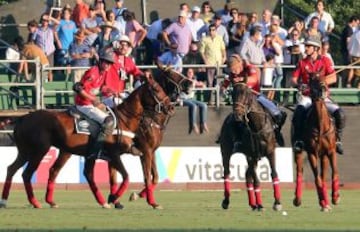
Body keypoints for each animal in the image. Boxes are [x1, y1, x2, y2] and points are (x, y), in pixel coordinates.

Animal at [0, 74, 174, 208]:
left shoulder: (134, 153)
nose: (171, 107)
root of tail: (23, 118)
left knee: (15, 169)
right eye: (157, 89)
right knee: (27, 173)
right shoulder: (124, 153)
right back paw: (35, 202)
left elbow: (128, 177)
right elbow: (131, 176)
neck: (125, 119)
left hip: (35, 151)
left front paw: (117, 200)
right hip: (39, 150)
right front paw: (121, 198)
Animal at [217, 82, 282, 211]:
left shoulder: (270, 152)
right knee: (227, 173)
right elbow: (256, 180)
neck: (257, 127)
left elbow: (274, 173)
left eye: (247, 94)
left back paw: (252, 203)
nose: (237, 114)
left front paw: (277, 203)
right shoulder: (251, 155)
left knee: (247, 176)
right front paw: (260, 204)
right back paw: (226, 201)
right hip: (226, 151)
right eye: (232, 94)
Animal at [292, 71, 340, 211]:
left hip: (323, 156)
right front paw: (322, 200)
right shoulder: (312, 153)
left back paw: (327, 202)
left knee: (323, 176)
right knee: (300, 173)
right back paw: (298, 199)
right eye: (312, 79)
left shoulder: (331, 151)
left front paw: (335, 197)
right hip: (298, 151)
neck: (320, 126)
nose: (322, 89)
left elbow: (334, 173)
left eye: (324, 77)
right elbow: (316, 178)